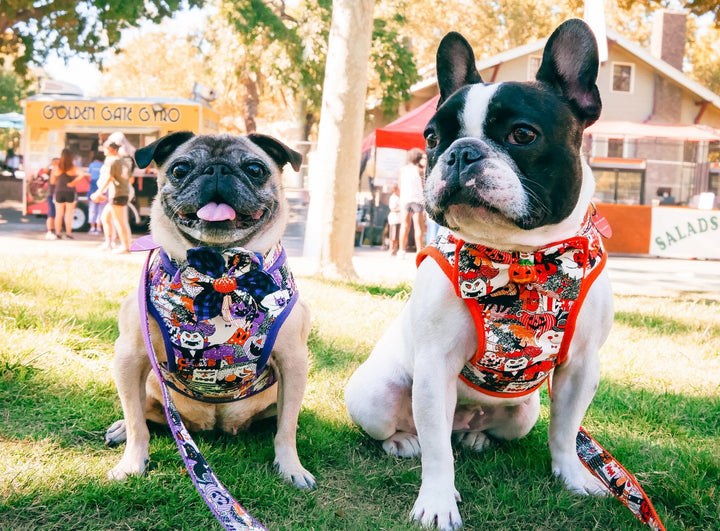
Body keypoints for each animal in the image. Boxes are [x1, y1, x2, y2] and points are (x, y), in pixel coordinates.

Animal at [346, 18, 612, 528]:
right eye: (432, 138)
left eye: (522, 135)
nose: (461, 152)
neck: (520, 257)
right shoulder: (435, 366)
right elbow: (437, 455)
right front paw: (436, 501)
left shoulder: (581, 366)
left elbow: (566, 431)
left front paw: (574, 476)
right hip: (374, 395)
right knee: (412, 433)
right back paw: (403, 441)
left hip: (523, 412)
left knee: (482, 431)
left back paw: (474, 436)